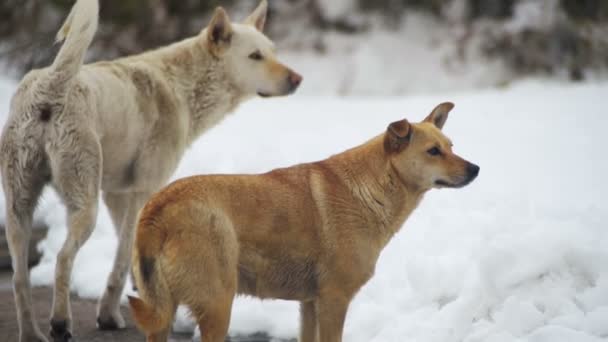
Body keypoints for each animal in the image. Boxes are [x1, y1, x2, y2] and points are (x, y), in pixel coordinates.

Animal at [0, 1, 302, 340]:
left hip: (19, 210)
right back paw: (60, 324)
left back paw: (31, 333)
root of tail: (53, 81)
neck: (181, 85)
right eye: (255, 56)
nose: (297, 79)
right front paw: (109, 316)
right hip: (85, 208)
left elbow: (128, 257)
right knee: (63, 260)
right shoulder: (143, 191)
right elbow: (120, 262)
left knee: (19, 278)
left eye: (273, 52)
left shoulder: (117, 194)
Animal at [128, 103, 480, 340]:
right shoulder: (334, 300)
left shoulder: (310, 304)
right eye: (433, 151)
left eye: (451, 147)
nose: (476, 169)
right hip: (217, 306)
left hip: (163, 313)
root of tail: (157, 207)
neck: (371, 188)